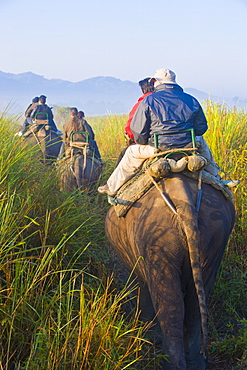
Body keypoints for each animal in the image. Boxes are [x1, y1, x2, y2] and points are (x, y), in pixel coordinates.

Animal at [104, 173, 235, 370]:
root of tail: (184, 201)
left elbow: (141, 284)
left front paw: (148, 337)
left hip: (156, 238)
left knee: (170, 303)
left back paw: (169, 363)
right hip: (215, 235)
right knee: (195, 302)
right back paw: (195, 363)